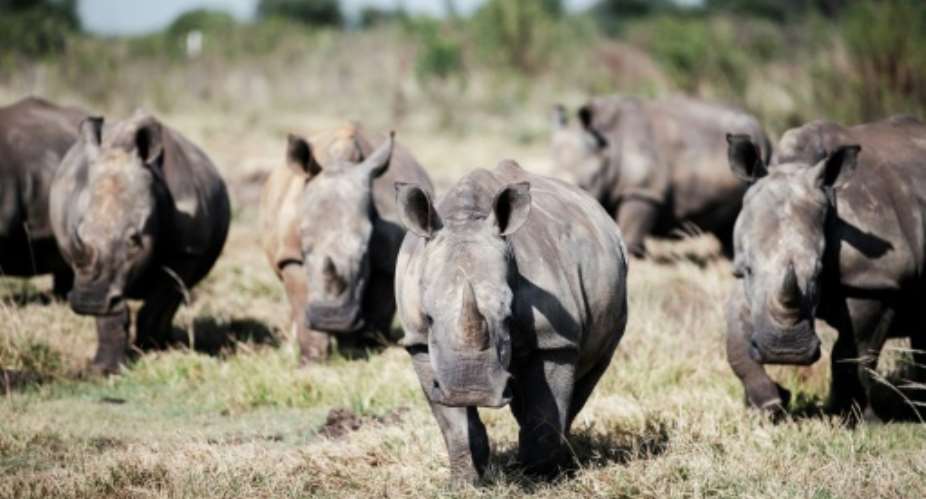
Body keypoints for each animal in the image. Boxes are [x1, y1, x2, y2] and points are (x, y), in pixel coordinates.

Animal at [49, 112, 230, 374]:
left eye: (134, 240)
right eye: (79, 233)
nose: (88, 301)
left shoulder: (187, 251)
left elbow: (160, 301)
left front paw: (152, 352)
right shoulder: (95, 272)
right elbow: (111, 312)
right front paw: (103, 370)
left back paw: (166, 343)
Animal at [259, 126, 433, 362]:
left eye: (364, 251)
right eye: (305, 247)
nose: (332, 318)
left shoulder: (388, 259)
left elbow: (379, 306)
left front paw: (362, 348)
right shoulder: (290, 254)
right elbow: (300, 299)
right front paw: (312, 359)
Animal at [394, 160, 628, 483]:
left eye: (507, 316)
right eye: (429, 317)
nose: (472, 390)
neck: (466, 217)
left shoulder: (553, 339)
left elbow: (545, 413)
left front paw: (539, 478)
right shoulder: (417, 341)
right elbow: (454, 423)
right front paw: (465, 482)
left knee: (590, 372)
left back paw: (560, 461)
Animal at [552, 95, 772, 257]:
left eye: (587, 183)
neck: (609, 143)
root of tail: (763, 130)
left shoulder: (644, 191)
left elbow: (630, 227)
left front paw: (632, 255)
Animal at [725, 116, 926, 421]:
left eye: (820, 271)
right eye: (748, 269)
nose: (785, 352)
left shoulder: (875, 281)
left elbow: (854, 353)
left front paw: (855, 419)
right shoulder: (745, 278)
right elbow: (736, 339)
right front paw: (769, 404)